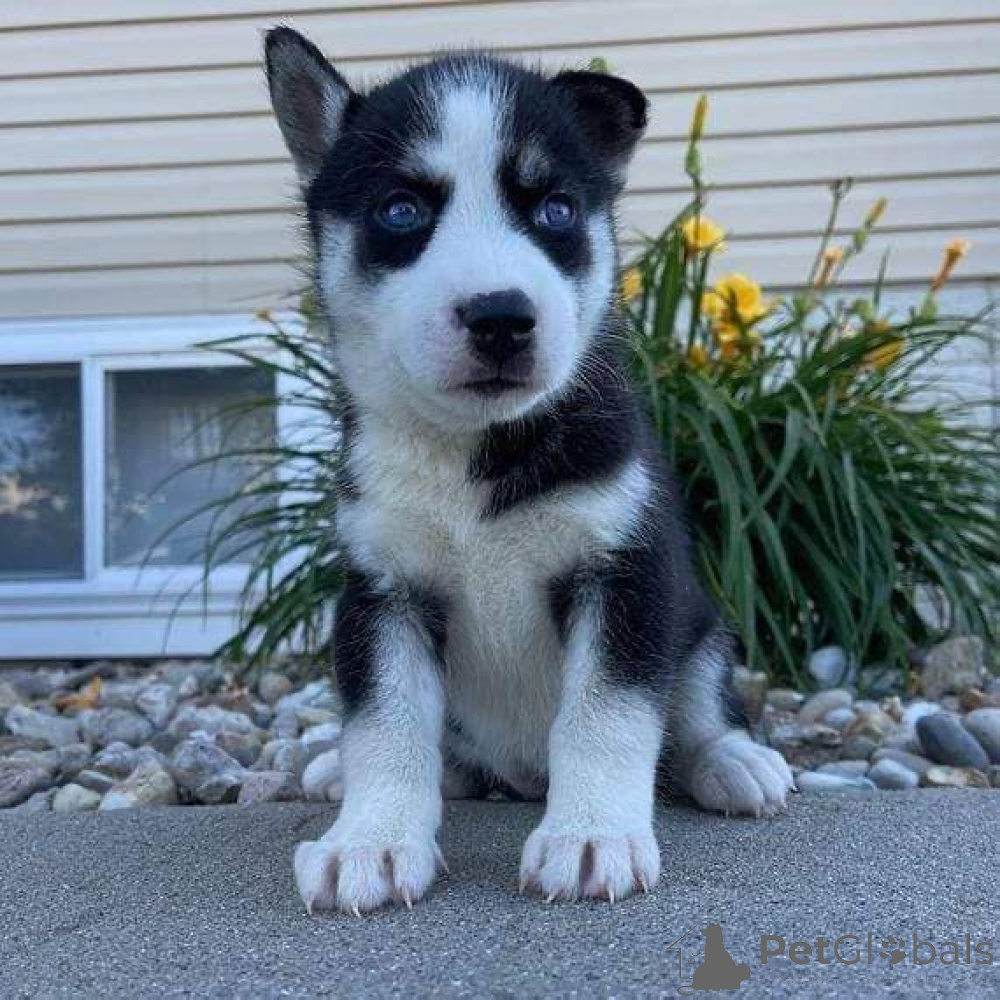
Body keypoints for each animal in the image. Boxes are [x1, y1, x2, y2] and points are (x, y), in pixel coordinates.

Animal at [264, 26, 794, 915]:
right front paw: (371, 839)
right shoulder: (380, 592)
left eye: (555, 211)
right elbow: (385, 724)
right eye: (401, 210)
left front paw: (592, 836)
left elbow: (606, 715)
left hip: (699, 623)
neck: (476, 455)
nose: (501, 317)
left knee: (694, 714)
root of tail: (516, 775)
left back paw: (731, 761)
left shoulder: (628, 573)